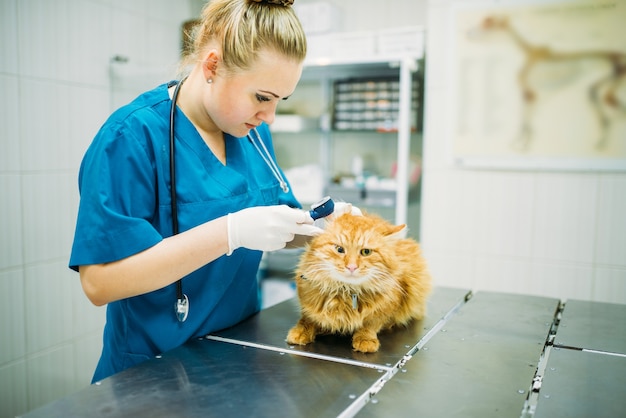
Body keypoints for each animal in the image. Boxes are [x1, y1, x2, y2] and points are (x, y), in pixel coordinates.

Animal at [286, 212, 432, 352]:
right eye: (339, 249)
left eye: (366, 252)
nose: (351, 267)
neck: (346, 292)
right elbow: (307, 319)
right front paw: (300, 332)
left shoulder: (390, 304)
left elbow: (370, 324)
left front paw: (365, 340)